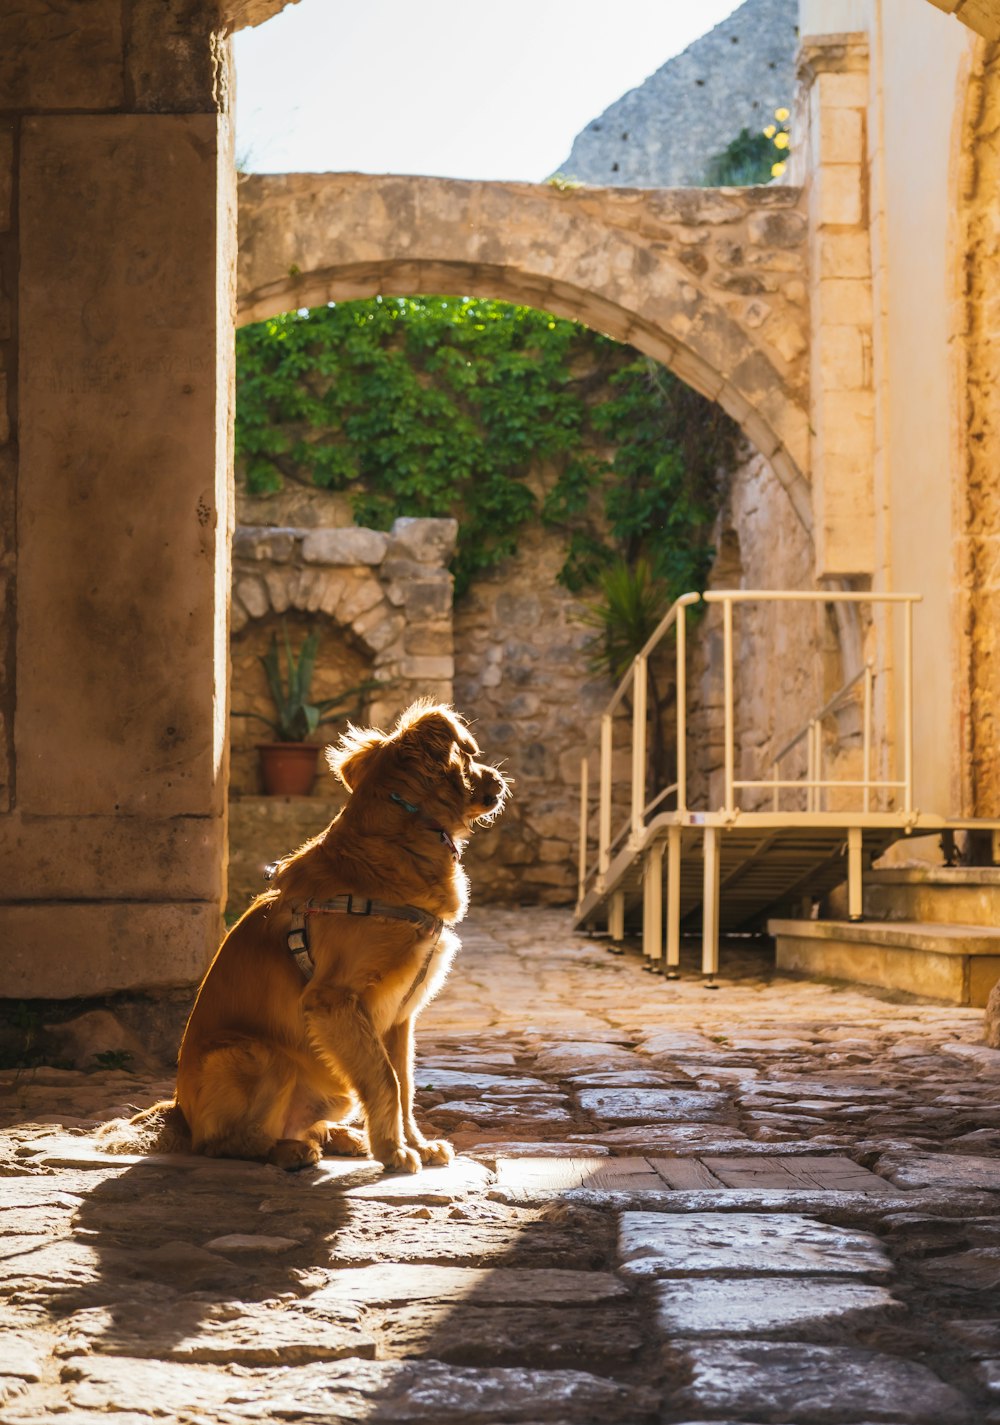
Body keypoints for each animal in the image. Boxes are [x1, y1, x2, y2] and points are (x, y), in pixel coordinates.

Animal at [109, 698, 509, 1168]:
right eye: (468, 755)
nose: (500, 777)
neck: (400, 842)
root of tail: (179, 1111)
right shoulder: (333, 1000)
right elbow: (386, 1080)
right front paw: (393, 1150)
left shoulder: (399, 1019)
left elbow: (405, 1084)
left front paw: (416, 1143)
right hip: (263, 1055)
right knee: (222, 1143)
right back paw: (289, 1150)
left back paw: (337, 1135)